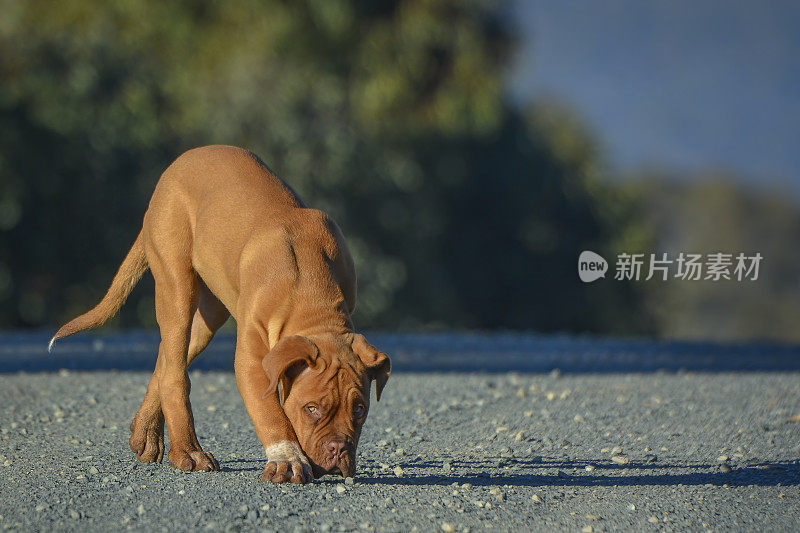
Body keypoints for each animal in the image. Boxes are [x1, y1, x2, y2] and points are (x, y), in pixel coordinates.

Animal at [48, 144, 392, 482]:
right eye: (311, 409)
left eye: (360, 409)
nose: (338, 451)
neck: (313, 300)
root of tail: (180, 161)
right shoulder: (253, 361)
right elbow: (270, 411)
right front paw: (287, 459)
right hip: (176, 284)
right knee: (175, 370)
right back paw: (188, 452)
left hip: (210, 314)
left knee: (167, 358)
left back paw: (145, 434)